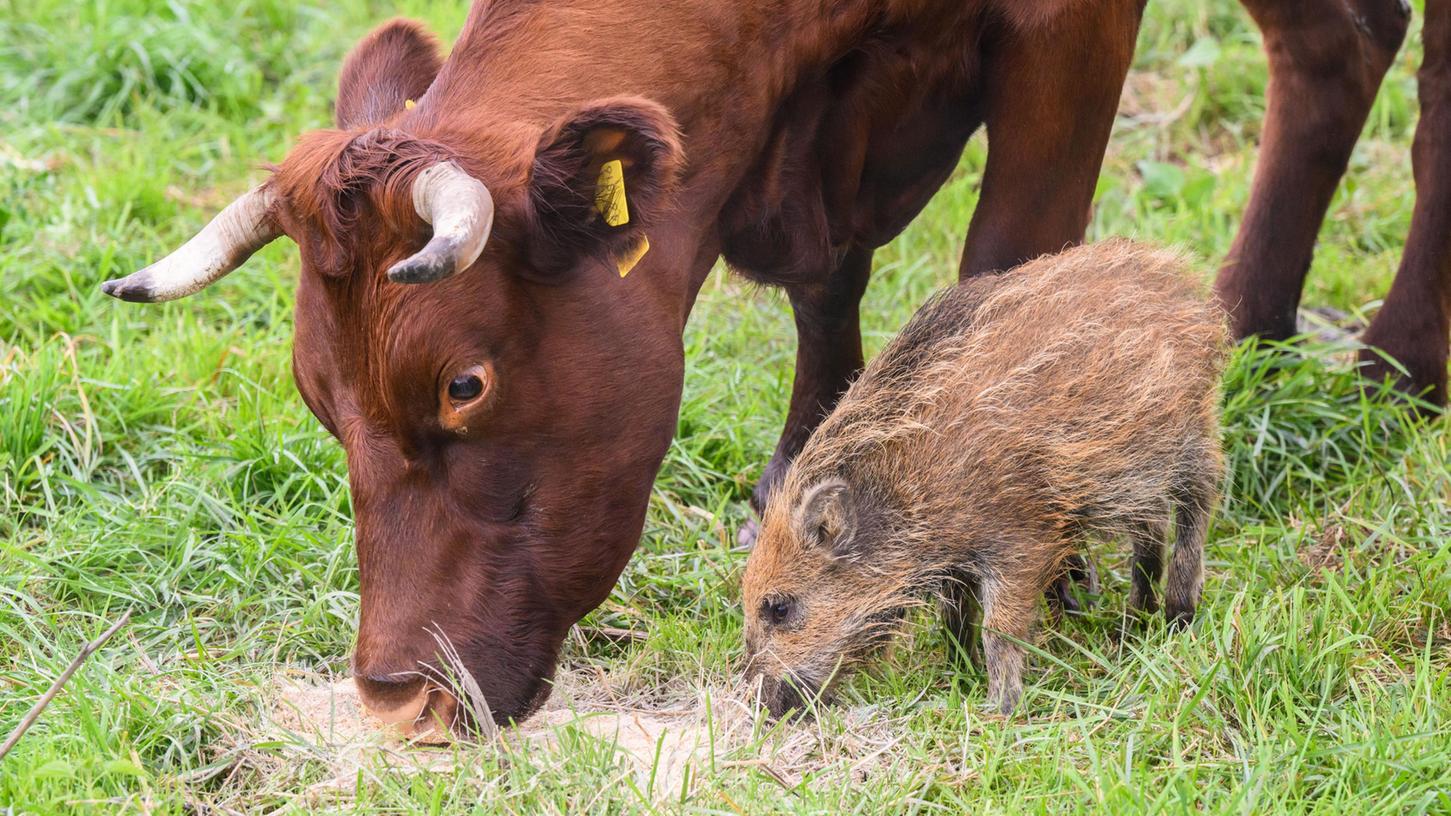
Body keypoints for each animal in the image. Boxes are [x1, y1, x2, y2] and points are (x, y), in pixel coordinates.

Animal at [99, 0, 1439, 725]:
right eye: (318, 400)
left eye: (464, 383)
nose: (395, 699)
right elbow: (827, 297)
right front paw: (800, 477)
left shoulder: (1062, 44)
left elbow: (1006, 269)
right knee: (1336, 48)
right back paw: (1240, 327)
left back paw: (1394, 368)